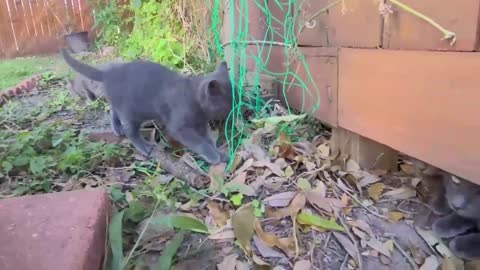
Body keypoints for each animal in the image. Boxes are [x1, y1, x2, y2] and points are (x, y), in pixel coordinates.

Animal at [61, 48, 233, 165]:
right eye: (229, 101)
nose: (233, 109)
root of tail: (108, 73)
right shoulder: (180, 127)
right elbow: (199, 143)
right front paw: (213, 156)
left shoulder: (201, 125)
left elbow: (208, 139)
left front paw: (219, 152)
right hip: (131, 111)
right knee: (130, 131)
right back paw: (143, 147)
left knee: (114, 111)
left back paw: (117, 128)